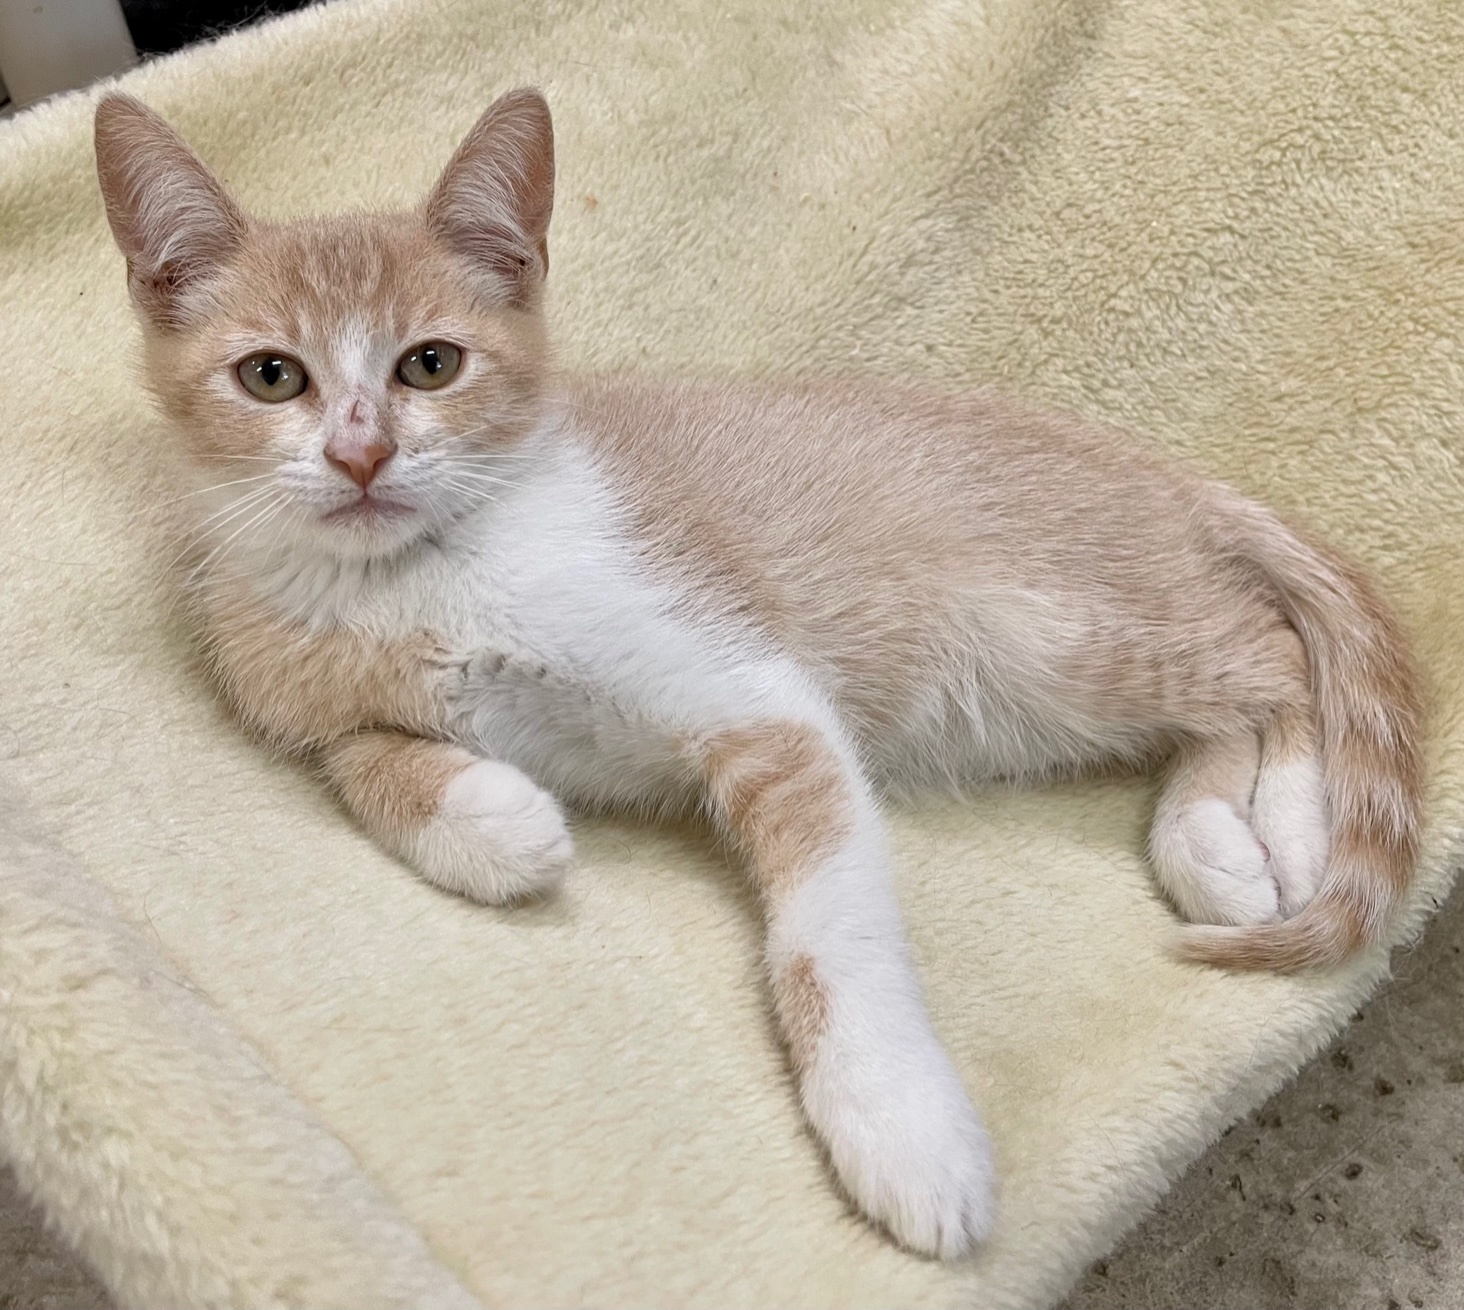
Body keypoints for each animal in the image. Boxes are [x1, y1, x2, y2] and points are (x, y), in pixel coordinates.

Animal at [91, 84, 1417, 1258]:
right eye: (273, 374)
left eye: (430, 365)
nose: (360, 454)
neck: (416, 580)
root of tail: (1167, 474)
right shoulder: (298, 684)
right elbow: (359, 753)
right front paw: (489, 818)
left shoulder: (757, 692)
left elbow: (828, 933)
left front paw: (902, 1128)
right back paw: (1215, 842)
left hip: (1066, 628)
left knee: (1275, 652)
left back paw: (1287, 826)